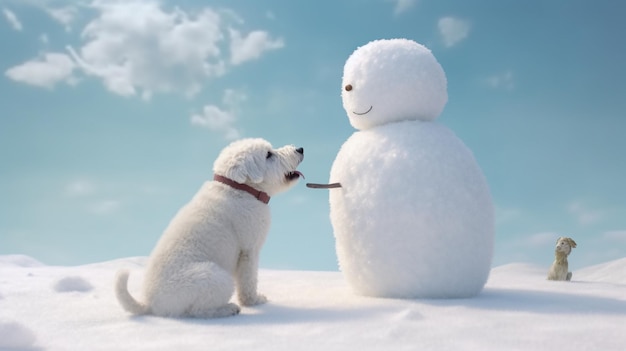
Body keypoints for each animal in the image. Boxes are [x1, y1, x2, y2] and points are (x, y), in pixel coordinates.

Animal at [116, 140, 304, 320]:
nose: (300, 149)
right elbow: (248, 281)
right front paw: (254, 301)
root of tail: (149, 304)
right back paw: (228, 309)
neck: (238, 187)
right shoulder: (249, 250)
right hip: (215, 278)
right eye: (268, 154)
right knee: (196, 311)